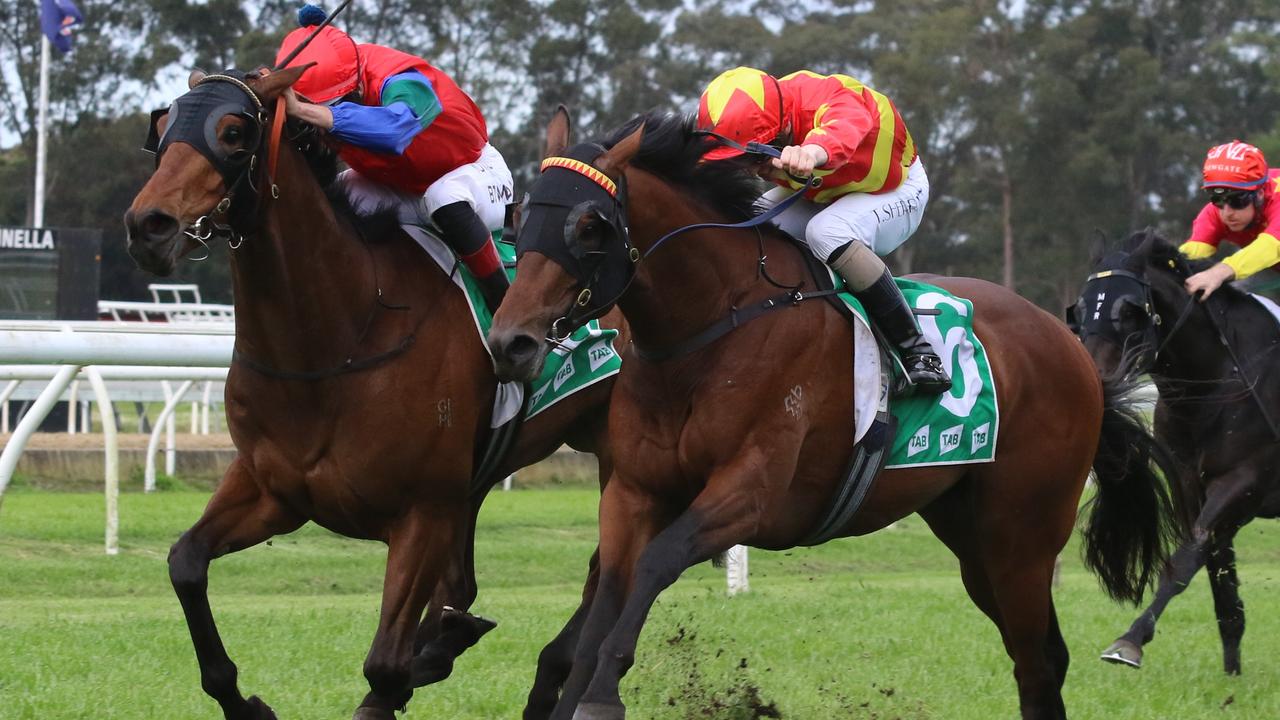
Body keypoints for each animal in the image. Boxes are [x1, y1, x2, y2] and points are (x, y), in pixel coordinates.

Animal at [122, 67, 622, 717]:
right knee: (466, 586)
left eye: (233, 131)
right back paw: (447, 639)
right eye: (161, 129)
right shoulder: (273, 490)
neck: (338, 338)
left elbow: (384, 667)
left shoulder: (421, 511)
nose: (147, 225)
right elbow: (185, 563)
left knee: (609, 564)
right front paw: (244, 701)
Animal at [483, 107, 1182, 717]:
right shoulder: (633, 490)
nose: (511, 341)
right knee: (1041, 658)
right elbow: (609, 589)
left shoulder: (750, 492)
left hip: (1022, 536)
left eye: (590, 226)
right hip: (973, 536)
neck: (712, 326)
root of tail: (1073, 349)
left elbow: (656, 562)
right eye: (522, 213)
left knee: (1037, 662)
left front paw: (603, 695)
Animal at [1075, 229, 1280, 671]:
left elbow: (1187, 558)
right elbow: (1219, 579)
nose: (1094, 383)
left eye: (1128, 310)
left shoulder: (1244, 481)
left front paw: (1129, 641)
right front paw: (1232, 671)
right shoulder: (1192, 486)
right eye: (1080, 310)